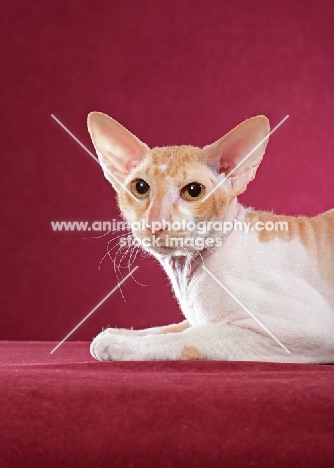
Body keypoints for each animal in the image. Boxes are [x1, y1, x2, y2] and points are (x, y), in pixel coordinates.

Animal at [87, 111, 334, 364]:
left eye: (194, 191)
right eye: (140, 187)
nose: (155, 223)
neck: (186, 270)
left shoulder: (309, 330)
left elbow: (192, 336)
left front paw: (122, 344)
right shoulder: (191, 318)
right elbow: (174, 327)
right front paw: (120, 333)